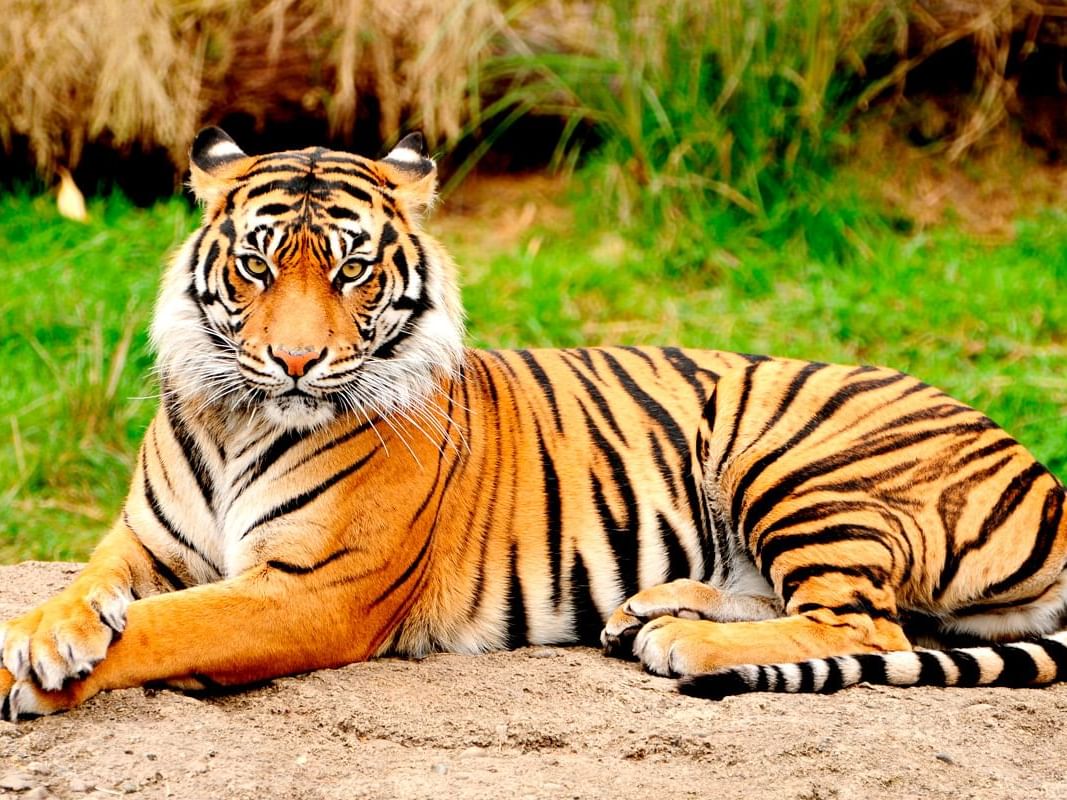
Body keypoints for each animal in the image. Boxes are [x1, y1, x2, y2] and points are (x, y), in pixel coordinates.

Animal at [2, 128, 1067, 725]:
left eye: (350, 270)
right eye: (259, 265)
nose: (296, 362)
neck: (235, 419)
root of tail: (1047, 481)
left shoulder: (310, 590)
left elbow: (169, 625)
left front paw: (40, 677)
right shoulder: (144, 541)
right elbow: (90, 587)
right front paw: (49, 634)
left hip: (796, 460)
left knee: (861, 618)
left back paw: (682, 645)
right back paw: (652, 610)